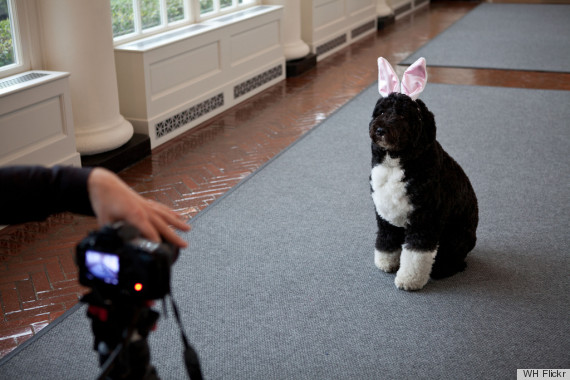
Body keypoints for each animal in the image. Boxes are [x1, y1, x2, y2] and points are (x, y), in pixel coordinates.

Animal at [366, 57, 478, 290]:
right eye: (381, 112)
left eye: (402, 114)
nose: (380, 129)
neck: (395, 163)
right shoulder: (384, 216)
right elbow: (386, 239)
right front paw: (387, 262)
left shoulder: (425, 220)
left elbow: (416, 255)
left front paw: (409, 280)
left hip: (455, 237)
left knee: (455, 259)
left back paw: (443, 269)